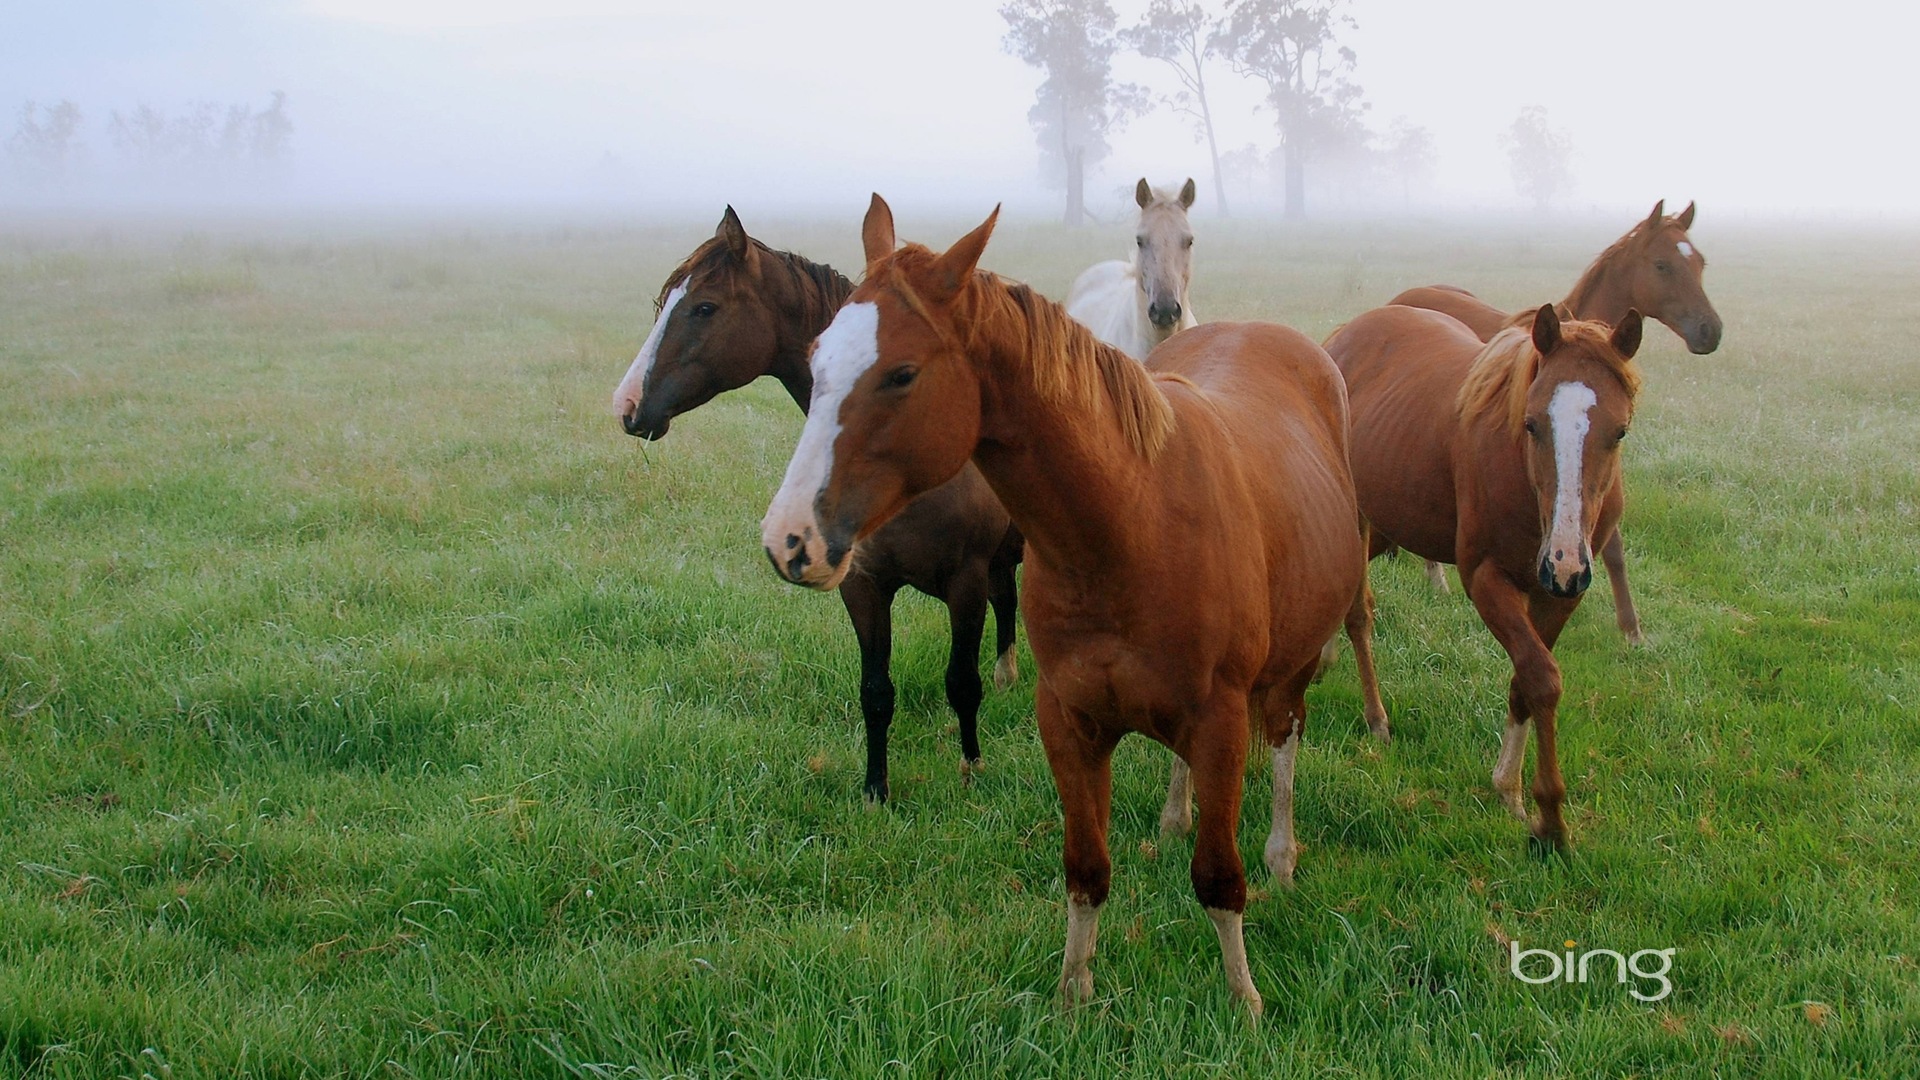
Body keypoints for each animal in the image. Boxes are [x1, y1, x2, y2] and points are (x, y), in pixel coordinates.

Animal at [610, 208, 1029, 799]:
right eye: (663, 301)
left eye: (704, 307)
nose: (627, 406)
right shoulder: (863, 586)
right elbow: (876, 693)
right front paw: (875, 791)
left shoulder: (963, 582)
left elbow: (961, 683)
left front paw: (972, 768)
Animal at [760, 197, 1367, 1014]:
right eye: (817, 358)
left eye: (902, 373)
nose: (789, 539)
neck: (1131, 522)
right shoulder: (1069, 721)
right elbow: (1086, 870)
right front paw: (1074, 993)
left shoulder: (1219, 719)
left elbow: (1218, 877)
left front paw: (1244, 1001)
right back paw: (1175, 816)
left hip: (1291, 666)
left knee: (1284, 740)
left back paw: (1280, 852)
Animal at [1320, 295, 1651, 849]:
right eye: (1533, 424)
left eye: (1619, 430)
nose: (1564, 560)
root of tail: (1342, 336)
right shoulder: (1486, 580)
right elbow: (1542, 678)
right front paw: (1549, 819)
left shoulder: (1558, 596)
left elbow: (1526, 679)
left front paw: (1509, 791)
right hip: (1358, 514)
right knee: (1359, 615)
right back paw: (1376, 718)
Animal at [1390, 199, 1720, 638]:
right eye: (1662, 265)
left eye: (1699, 262)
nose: (1710, 331)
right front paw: (1630, 628)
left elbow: (1612, 546)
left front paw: (1631, 629)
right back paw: (1435, 577)